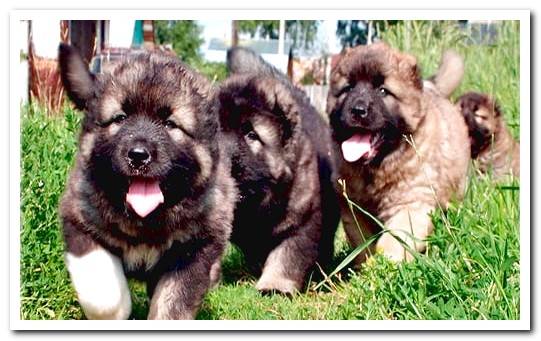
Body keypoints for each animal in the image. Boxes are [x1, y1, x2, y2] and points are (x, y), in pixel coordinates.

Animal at [59, 43, 236, 318]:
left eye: (169, 124)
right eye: (120, 118)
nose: (138, 155)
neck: (145, 223)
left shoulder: (193, 250)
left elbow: (172, 306)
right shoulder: (80, 221)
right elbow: (104, 297)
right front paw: (120, 310)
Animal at [326, 41, 470, 260]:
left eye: (383, 91)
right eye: (348, 88)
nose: (358, 110)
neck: (375, 170)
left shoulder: (411, 203)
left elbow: (392, 243)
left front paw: (385, 265)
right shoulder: (353, 210)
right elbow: (363, 244)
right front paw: (366, 266)